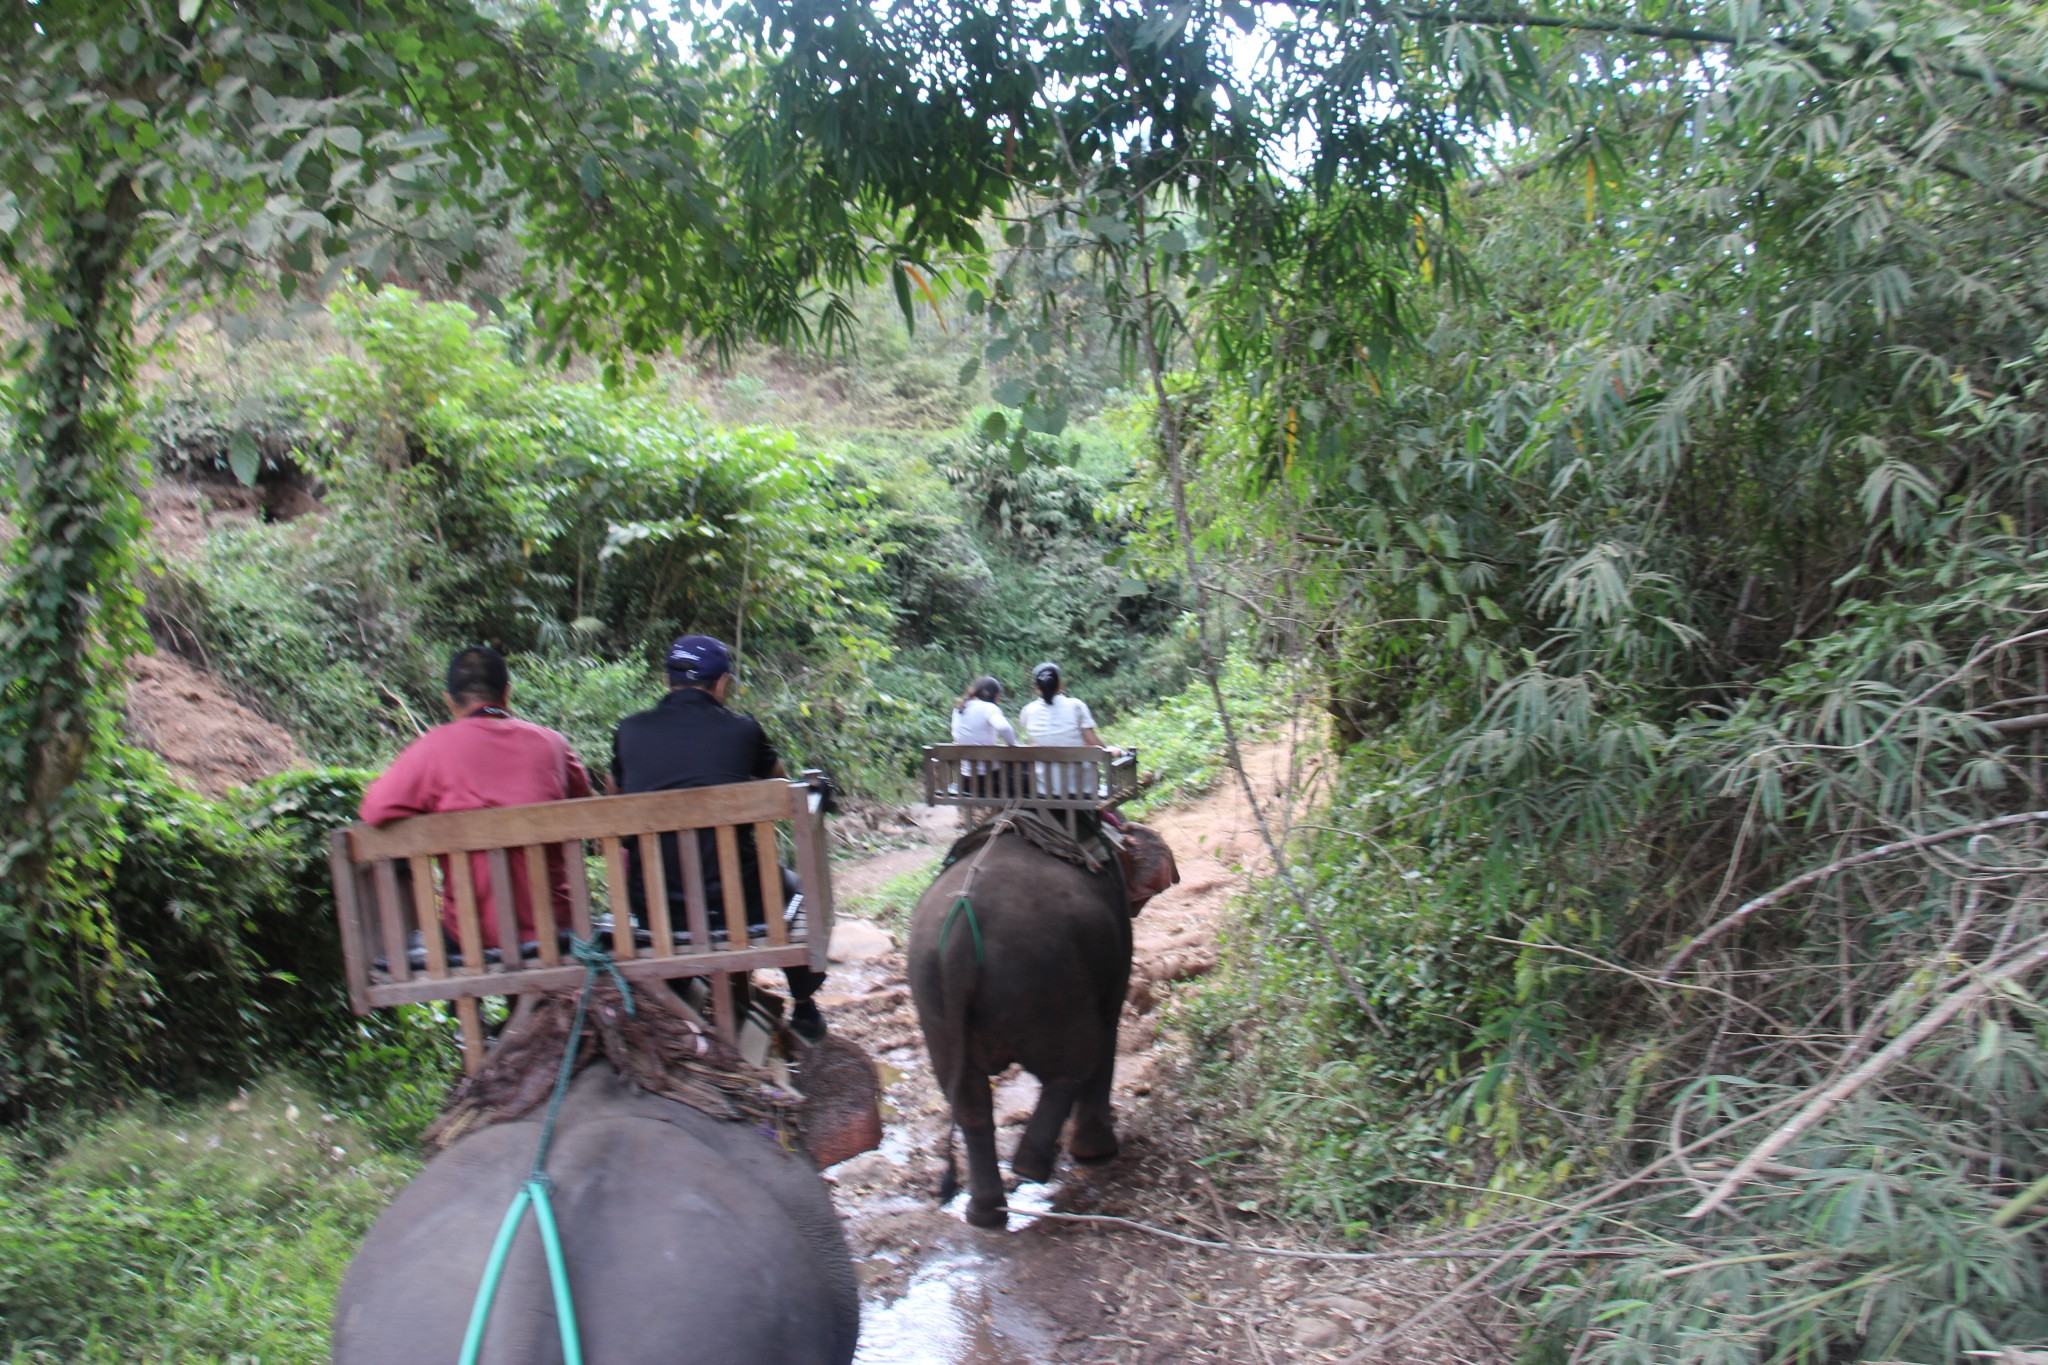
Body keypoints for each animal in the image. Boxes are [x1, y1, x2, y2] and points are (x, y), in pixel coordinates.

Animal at [905, 818, 1179, 1236]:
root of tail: (959, 946)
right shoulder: (1116, 936)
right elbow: (1110, 1018)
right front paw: (1095, 1153)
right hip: (1048, 980)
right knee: (1076, 1060)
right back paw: (1037, 1167)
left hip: (934, 999)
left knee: (969, 1101)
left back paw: (986, 1214)